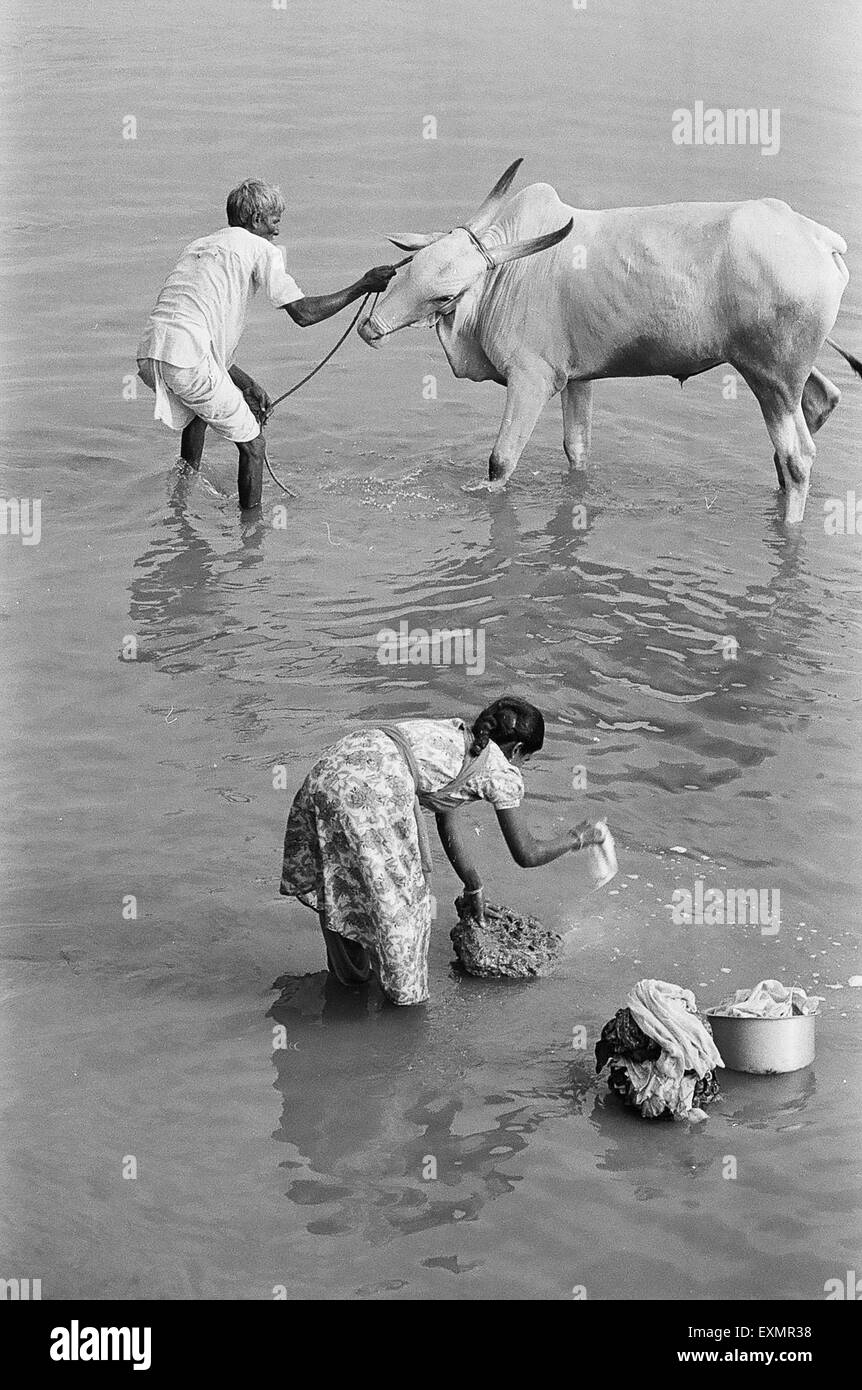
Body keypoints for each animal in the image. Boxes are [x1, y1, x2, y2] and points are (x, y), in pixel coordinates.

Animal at [355, 159, 856, 525]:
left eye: (445, 295)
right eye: (411, 266)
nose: (369, 328)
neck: (506, 276)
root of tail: (819, 238)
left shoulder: (532, 379)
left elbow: (501, 461)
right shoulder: (577, 379)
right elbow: (577, 449)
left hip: (770, 376)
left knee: (798, 457)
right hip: (776, 372)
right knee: (822, 400)